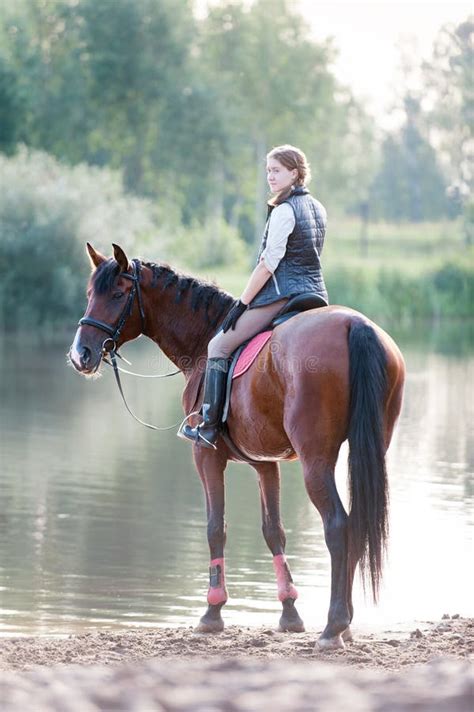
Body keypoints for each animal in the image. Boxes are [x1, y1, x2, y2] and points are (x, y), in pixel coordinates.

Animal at [69, 245, 404, 652]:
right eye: (90, 293)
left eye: (118, 295)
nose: (81, 354)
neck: (205, 339)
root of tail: (354, 325)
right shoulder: (265, 463)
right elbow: (273, 531)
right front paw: (289, 613)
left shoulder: (206, 456)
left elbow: (216, 528)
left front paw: (212, 613)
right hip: (367, 448)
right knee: (354, 524)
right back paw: (346, 624)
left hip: (316, 461)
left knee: (338, 526)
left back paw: (333, 627)